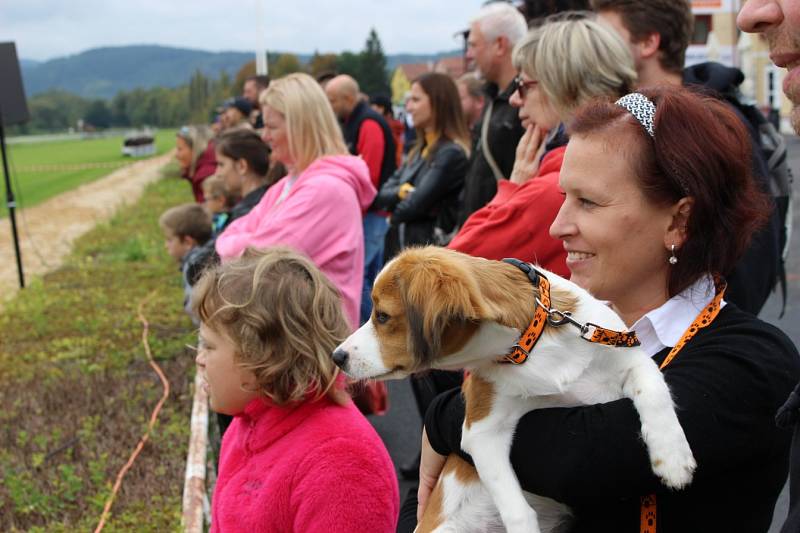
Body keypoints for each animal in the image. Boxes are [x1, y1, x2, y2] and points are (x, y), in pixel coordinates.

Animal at [332, 247, 692, 528]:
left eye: (382, 316)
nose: (338, 356)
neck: (533, 340)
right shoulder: (481, 430)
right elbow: (517, 509)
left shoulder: (629, 357)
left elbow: (655, 392)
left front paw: (672, 458)